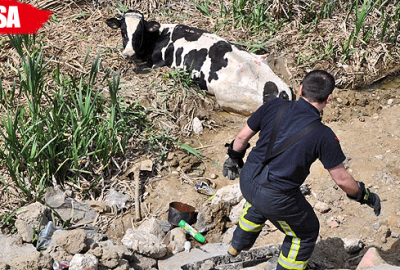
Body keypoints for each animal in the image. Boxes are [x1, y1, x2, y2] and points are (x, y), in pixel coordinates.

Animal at [108, 9, 292, 114]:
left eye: (139, 32)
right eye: (123, 31)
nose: (128, 54)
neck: (158, 36)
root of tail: (282, 92)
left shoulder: (156, 64)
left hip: (227, 97)